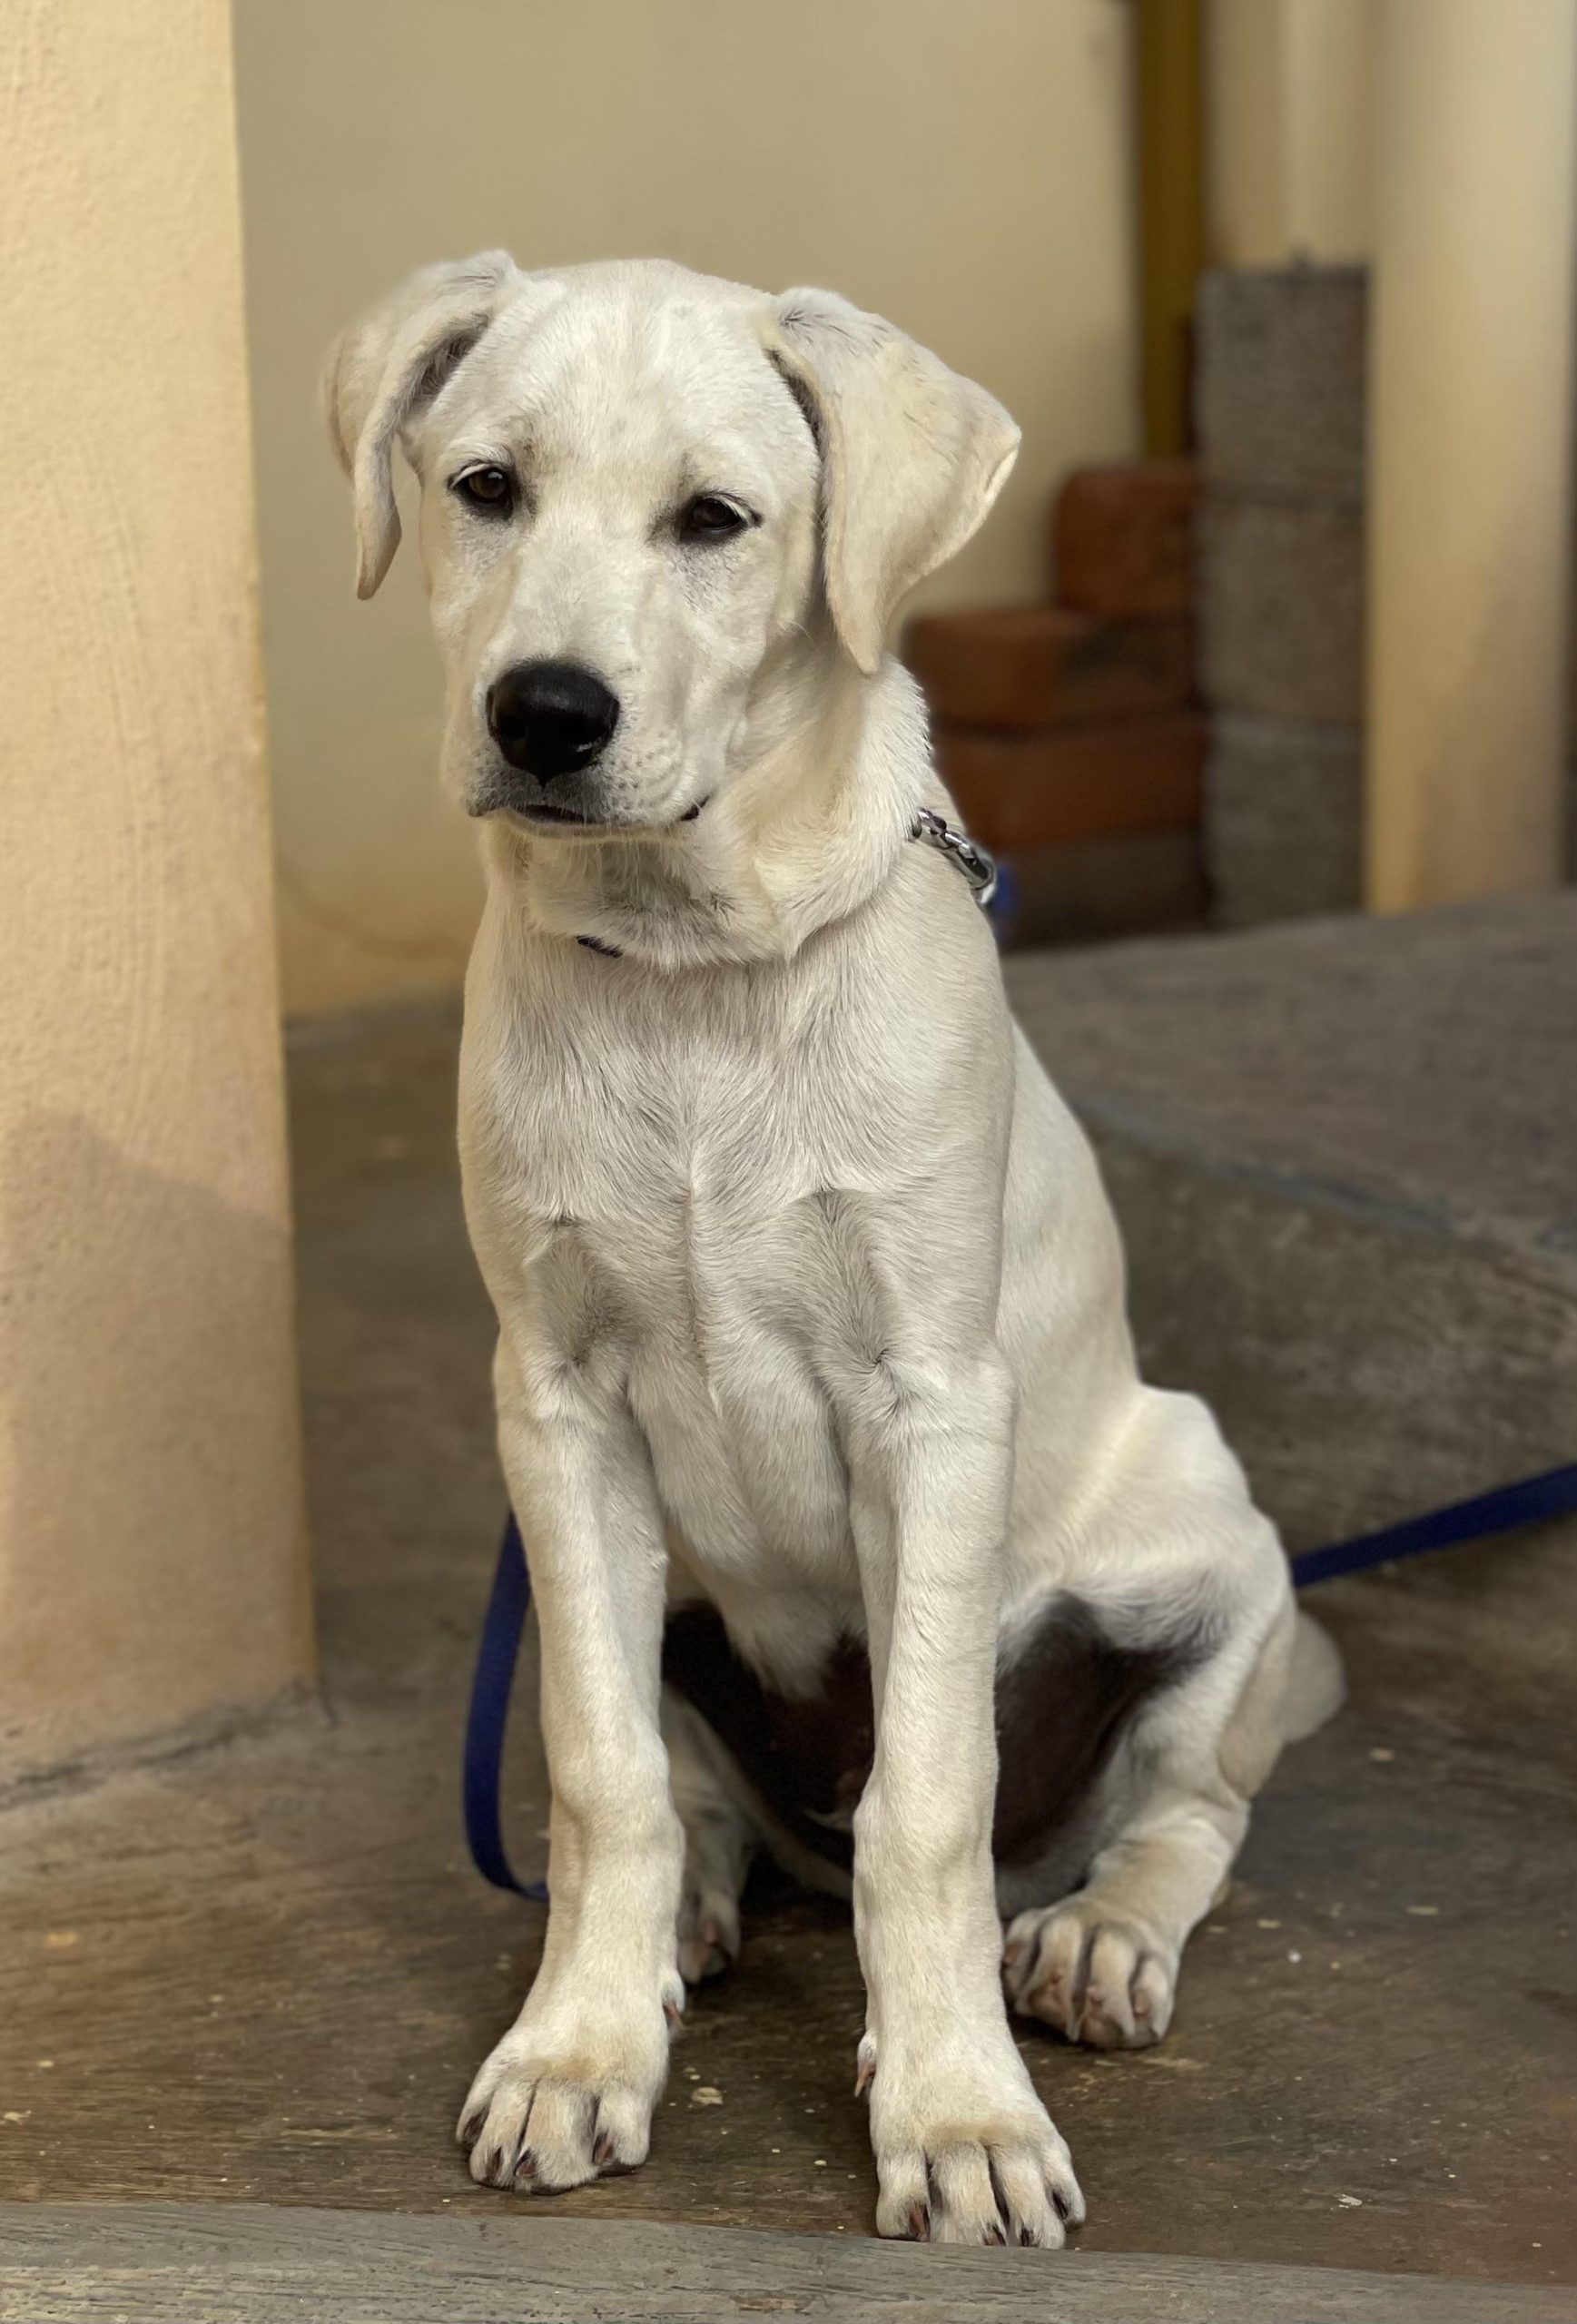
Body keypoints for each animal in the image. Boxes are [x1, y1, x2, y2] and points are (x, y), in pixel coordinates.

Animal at [327, 259, 1337, 2250]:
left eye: (714, 520)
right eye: (484, 487)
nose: (541, 713)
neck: (691, 973)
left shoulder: (928, 1402)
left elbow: (925, 1796)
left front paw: (954, 2108)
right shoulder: (555, 1409)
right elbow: (602, 1778)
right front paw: (575, 2044)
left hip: (1207, 1534)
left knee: (1177, 1812)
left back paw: (1093, 1939)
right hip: (648, 1595)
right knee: (693, 1794)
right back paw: (688, 1922)